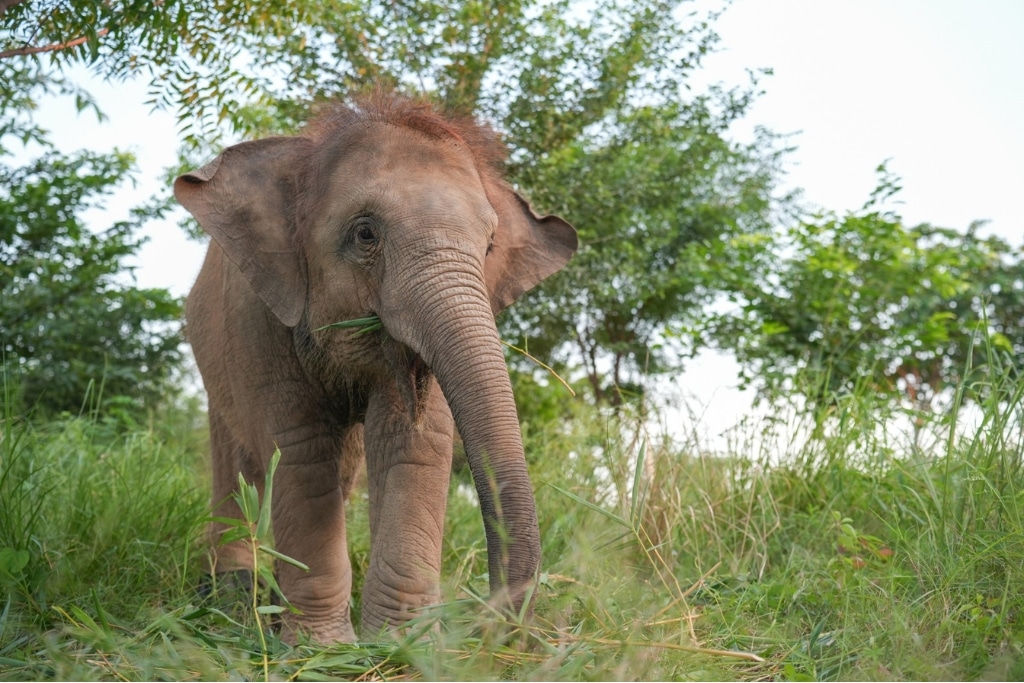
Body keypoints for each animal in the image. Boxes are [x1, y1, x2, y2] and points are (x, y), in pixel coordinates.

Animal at [174, 90, 577, 644]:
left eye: (490, 246)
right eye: (365, 234)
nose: (493, 628)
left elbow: (415, 442)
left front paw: (402, 646)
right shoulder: (256, 319)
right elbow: (298, 449)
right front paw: (320, 649)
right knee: (240, 456)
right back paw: (233, 592)